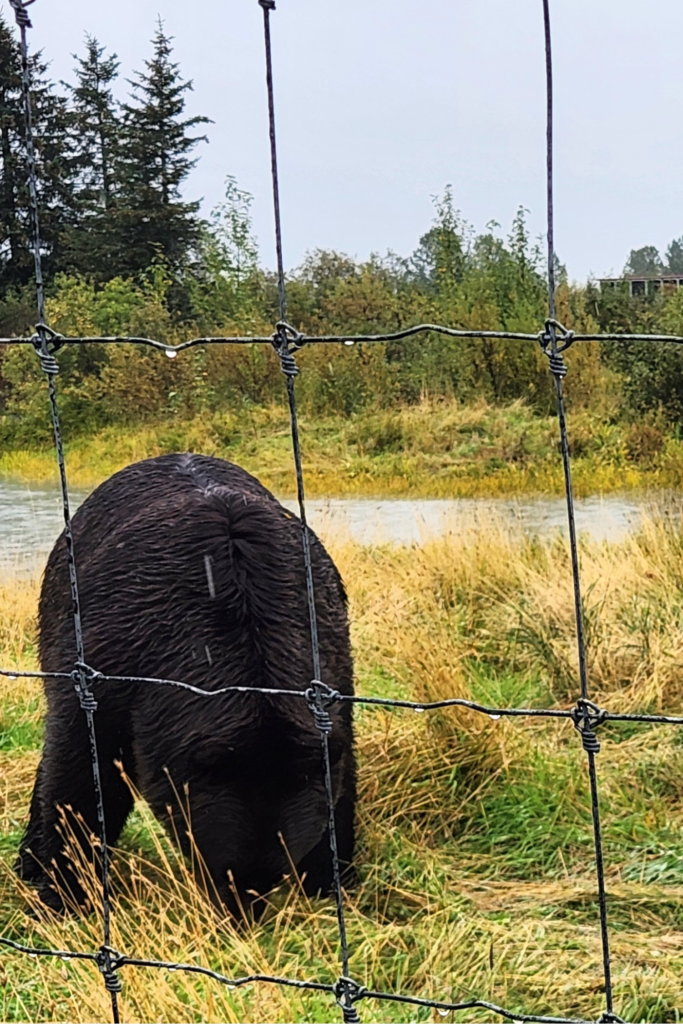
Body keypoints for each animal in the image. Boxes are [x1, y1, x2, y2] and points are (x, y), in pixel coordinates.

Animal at [17, 453, 356, 917]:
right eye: (220, 865)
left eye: (274, 873)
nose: (241, 911)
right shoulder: (111, 655)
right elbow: (81, 769)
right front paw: (65, 889)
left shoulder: (330, 652)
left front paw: (332, 876)